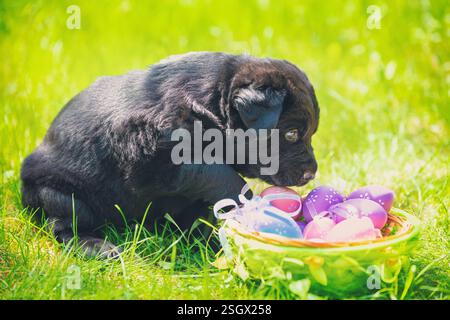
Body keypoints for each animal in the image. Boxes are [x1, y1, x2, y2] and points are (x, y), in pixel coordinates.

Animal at [21, 52, 320, 258]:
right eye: (291, 134)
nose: (311, 173)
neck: (211, 102)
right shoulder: (156, 157)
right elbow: (218, 174)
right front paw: (248, 203)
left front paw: (208, 242)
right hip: (59, 193)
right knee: (63, 225)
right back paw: (97, 247)